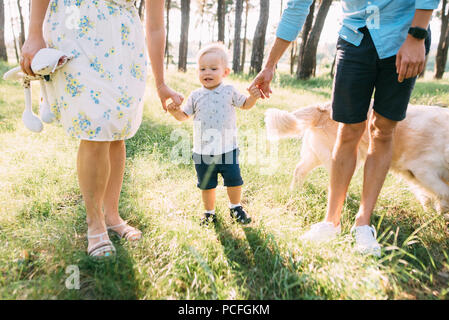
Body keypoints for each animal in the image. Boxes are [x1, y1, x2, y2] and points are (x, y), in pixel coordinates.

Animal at [264, 102, 448, 215]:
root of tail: (322, 107)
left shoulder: (417, 175)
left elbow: (430, 195)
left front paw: (435, 212)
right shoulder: (423, 170)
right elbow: (444, 192)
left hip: (317, 154)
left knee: (299, 170)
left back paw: (295, 191)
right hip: (344, 156)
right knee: (337, 184)